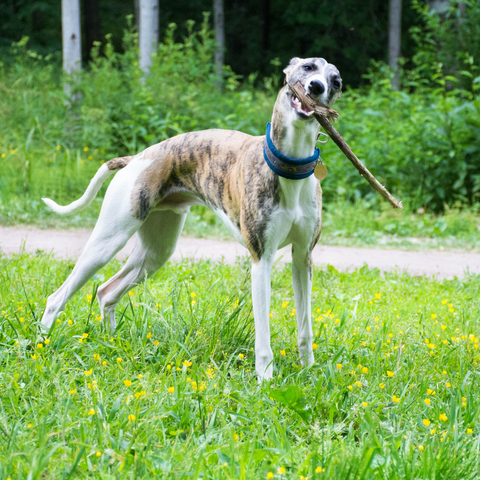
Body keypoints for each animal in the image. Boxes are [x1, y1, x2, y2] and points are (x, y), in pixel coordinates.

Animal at [40, 57, 342, 378]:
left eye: (336, 81)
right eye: (308, 67)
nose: (316, 87)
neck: (290, 167)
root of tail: (135, 158)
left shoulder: (302, 258)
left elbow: (305, 328)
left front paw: (309, 372)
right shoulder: (262, 259)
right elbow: (263, 337)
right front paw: (265, 380)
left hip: (155, 251)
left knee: (106, 292)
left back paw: (111, 344)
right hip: (107, 242)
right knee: (57, 298)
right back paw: (40, 345)